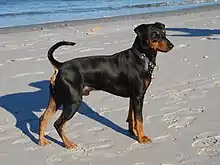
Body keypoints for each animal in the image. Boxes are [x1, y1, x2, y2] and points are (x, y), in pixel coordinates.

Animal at [38, 21, 174, 149]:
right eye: (154, 35)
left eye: (164, 33)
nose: (171, 45)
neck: (141, 57)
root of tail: (60, 66)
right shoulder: (138, 97)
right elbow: (139, 119)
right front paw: (142, 138)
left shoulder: (133, 97)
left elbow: (132, 117)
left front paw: (133, 133)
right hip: (73, 102)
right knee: (58, 124)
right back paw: (68, 144)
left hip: (56, 99)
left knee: (43, 118)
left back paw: (42, 141)